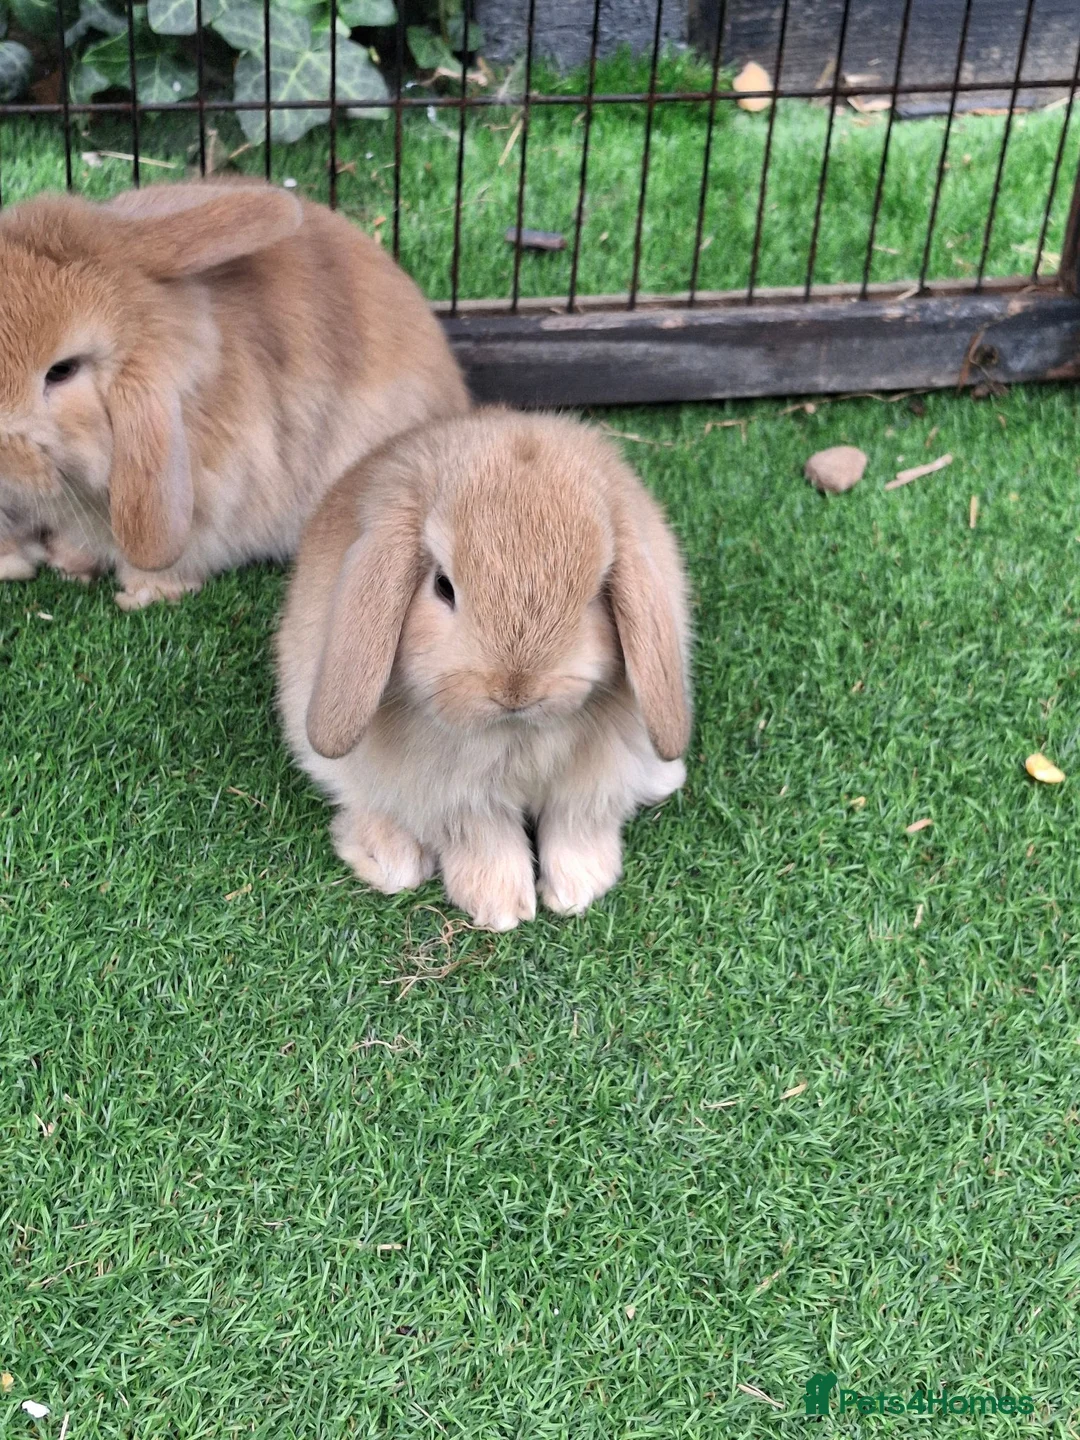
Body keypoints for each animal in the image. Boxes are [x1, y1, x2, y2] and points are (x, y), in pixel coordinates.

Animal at [276, 408, 692, 931]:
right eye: (443, 586)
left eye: (598, 592)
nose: (516, 690)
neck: (517, 737)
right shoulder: (456, 797)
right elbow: (484, 838)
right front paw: (501, 907)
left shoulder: (593, 782)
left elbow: (576, 825)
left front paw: (576, 891)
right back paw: (391, 859)